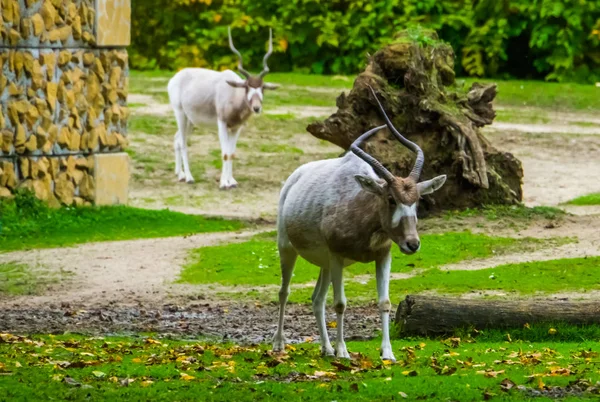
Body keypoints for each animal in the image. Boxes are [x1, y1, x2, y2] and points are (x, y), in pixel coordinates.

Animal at [166, 28, 278, 188]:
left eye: (262, 88)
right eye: (247, 86)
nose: (256, 108)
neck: (233, 94)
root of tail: (175, 78)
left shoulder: (236, 128)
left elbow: (231, 153)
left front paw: (232, 181)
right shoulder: (222, 124)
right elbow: (225, 153)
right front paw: (224, 184)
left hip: (191, 122)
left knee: (177, 139)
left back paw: (180, 174)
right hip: (180, 114)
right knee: (183, 143)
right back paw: (189, 177)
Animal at [272, 86, 446, 360]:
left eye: (417, 199)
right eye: (390, 199)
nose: (412, 244)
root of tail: (293, 178)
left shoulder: (382, 256)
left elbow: (384, 302)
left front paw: (387, 353)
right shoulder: (337, 256)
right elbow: (340, 303)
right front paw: (344, 351)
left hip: (324, 264)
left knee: (317, 298)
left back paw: (326, 348)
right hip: (288, 248)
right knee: (284, 292)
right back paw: (280, 344)